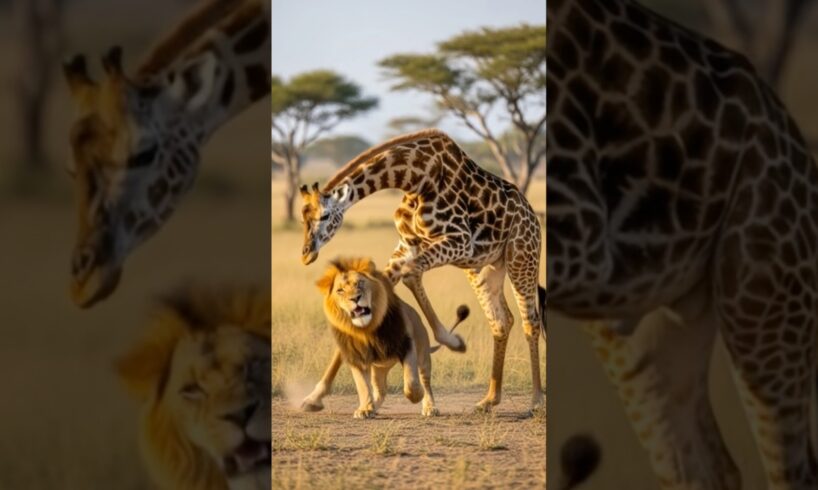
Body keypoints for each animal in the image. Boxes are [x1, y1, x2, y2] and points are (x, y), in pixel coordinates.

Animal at [314, 257, 468, 418]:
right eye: (340, 290)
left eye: (360, 283)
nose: (355, 298)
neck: (368, 330)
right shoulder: (355, 356)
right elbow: (362, 385)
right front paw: (365, 409)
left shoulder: (407, 345)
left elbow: (411, 382)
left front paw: (416, 395)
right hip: (379, 368)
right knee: (381, 390)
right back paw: (373, 408)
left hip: (423, 355)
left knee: (425, 383)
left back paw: (430, 407)